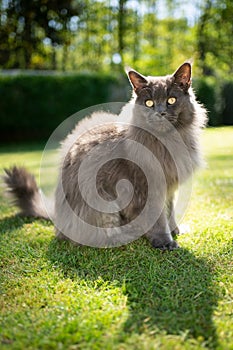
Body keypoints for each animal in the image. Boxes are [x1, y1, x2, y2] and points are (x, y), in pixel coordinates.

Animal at [3, 62, 207, 249]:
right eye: (149, 103)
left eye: (171, 100)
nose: (160, 113)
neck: (168, 142)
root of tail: (59, 221)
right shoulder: (147, 187)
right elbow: (158, 218)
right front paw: (165, 242)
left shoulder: (170, 186)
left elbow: (169, 211)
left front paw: (175, 230)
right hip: (103, 204)